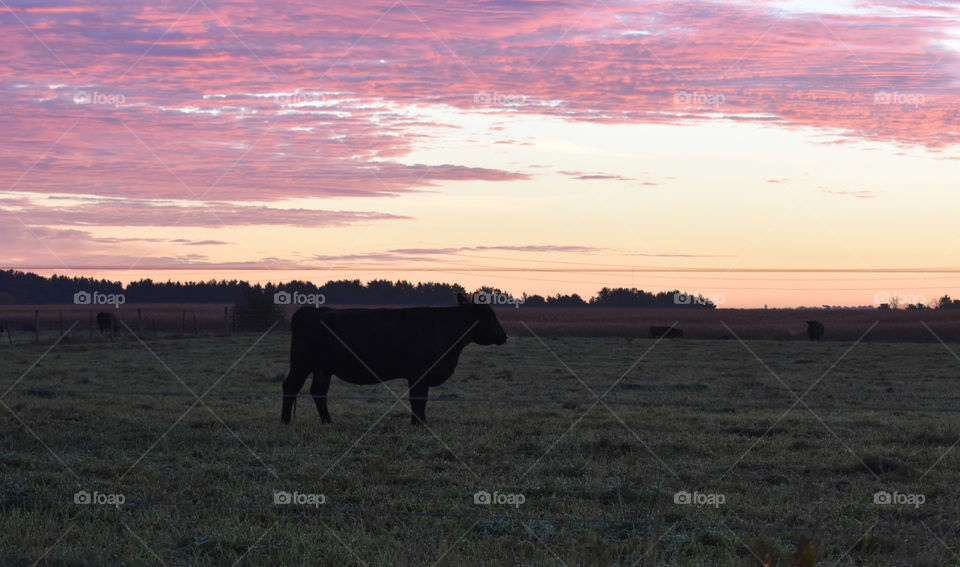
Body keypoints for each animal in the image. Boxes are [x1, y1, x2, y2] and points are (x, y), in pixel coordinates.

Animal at [282, 292, 510, 426]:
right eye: (489, 315)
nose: (503, 335)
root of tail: (308, 311)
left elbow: (420, 400)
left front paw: (420, 422)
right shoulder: (419, 373)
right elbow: (418, 399)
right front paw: (419, 424)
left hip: (323, 367)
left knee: (318, 392)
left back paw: (328, 421)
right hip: (301, 362)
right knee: (291, 386)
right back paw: (285, 421)